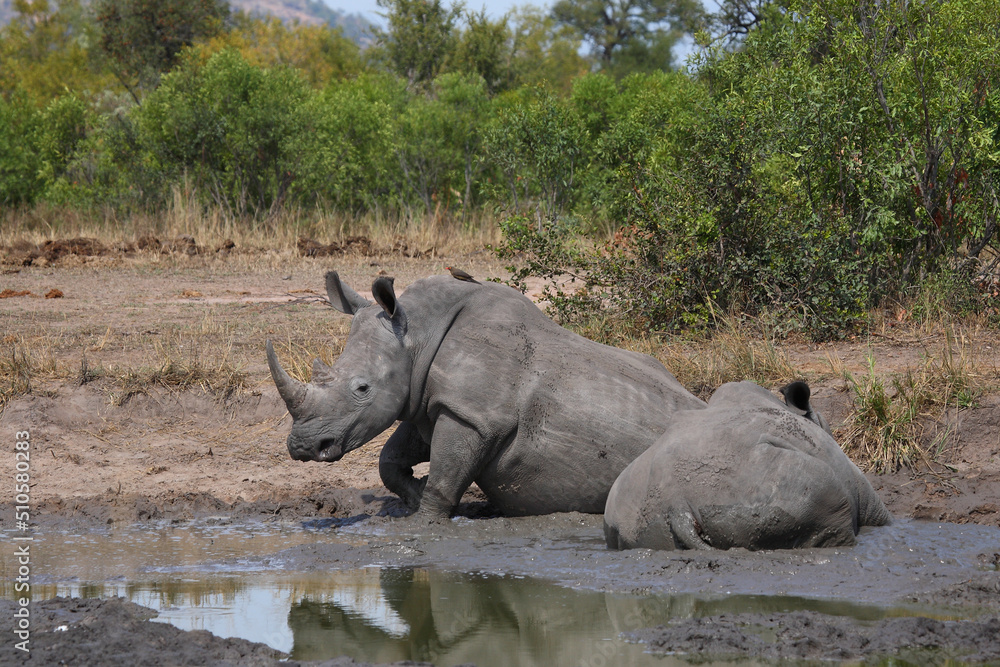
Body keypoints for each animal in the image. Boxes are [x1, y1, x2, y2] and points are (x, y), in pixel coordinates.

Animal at [267, 272, 706, 520]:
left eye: (362, 389)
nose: (303, 446)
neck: (417, 334)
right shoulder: (429, 403)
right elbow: (389, 459)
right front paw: (415, 494)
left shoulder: (475, 416)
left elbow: (445, 479)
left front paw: (426, 521)